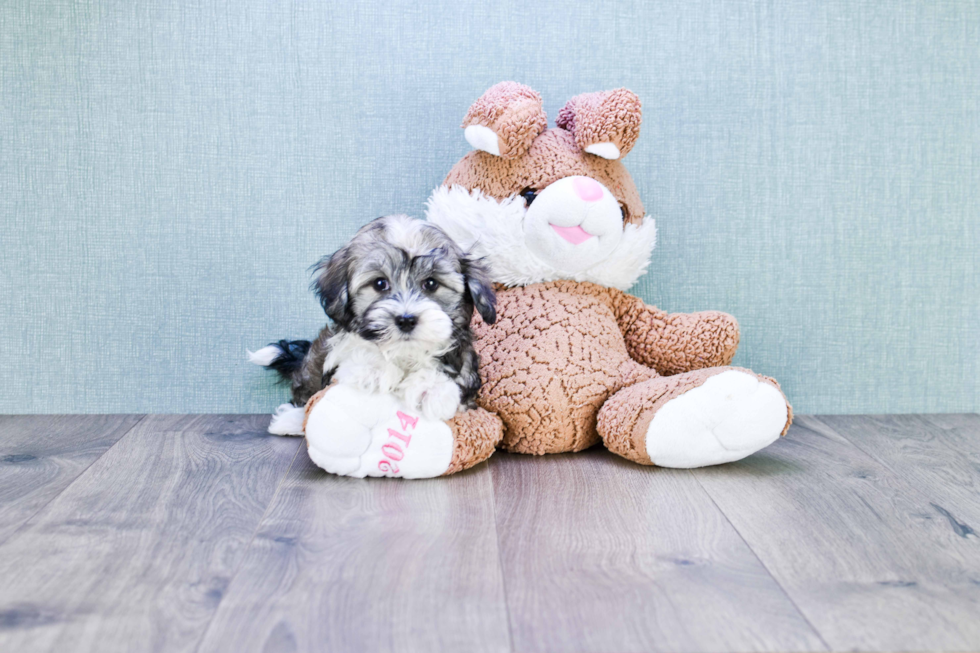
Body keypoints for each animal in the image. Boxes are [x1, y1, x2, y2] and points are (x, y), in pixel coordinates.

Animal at [251, 214, 498, 436]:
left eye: (430, 283)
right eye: (380, 283)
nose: (406, 319)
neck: (404, 353)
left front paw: (430, 388)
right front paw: (375, 368)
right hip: (314, 361)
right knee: (306, 392)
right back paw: (290, 421)